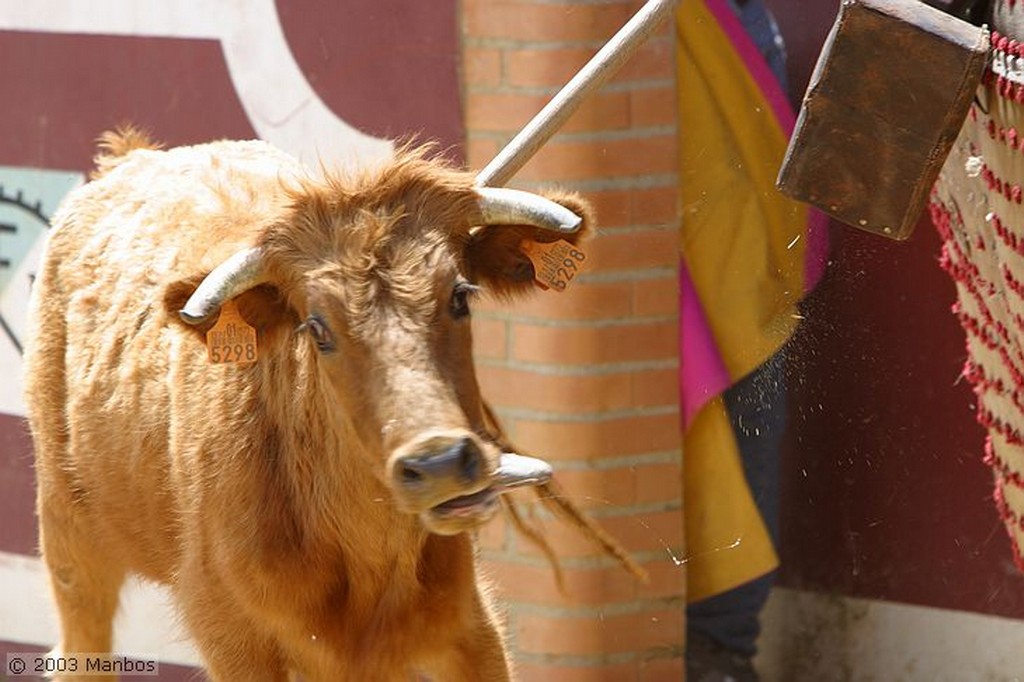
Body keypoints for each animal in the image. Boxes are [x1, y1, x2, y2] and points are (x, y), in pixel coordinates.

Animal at [25, 129, 593, 679]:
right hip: (69, 540)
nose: (440, 464)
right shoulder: (231, 637)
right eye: (317, 328)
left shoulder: (469, 628)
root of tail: (132, 156)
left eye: (460, 295)